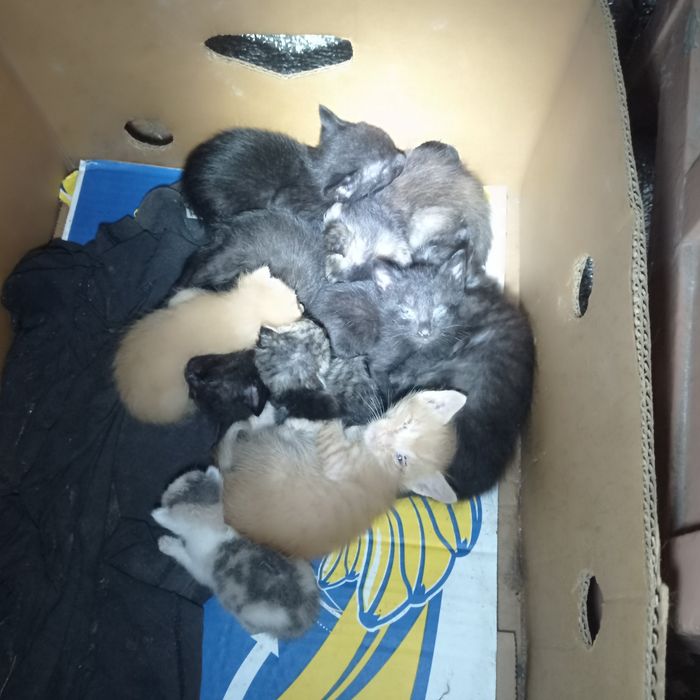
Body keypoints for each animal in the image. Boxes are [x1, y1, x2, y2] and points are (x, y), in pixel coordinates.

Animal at [217, 390, 466, 559]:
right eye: (406, 424)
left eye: (400, 459)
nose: (379, 436)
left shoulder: (337, 462)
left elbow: (329, 428)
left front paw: (309, 420)